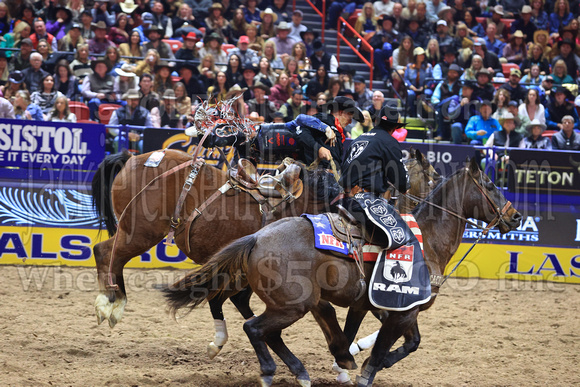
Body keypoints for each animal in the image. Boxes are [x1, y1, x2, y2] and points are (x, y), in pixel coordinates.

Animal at [165, 158, 524, 387]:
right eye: (490, 184)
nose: (516, 216)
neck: (428, 241)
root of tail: (257, 237)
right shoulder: (401, 311)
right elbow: (391, 346)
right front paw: (364, 369)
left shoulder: (385, 306)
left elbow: (397, 341)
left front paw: (348, 359)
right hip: (293, 304)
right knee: (254, 327)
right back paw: (272, 370)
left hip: (288, 303)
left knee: (260, 326)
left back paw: (297, 370)